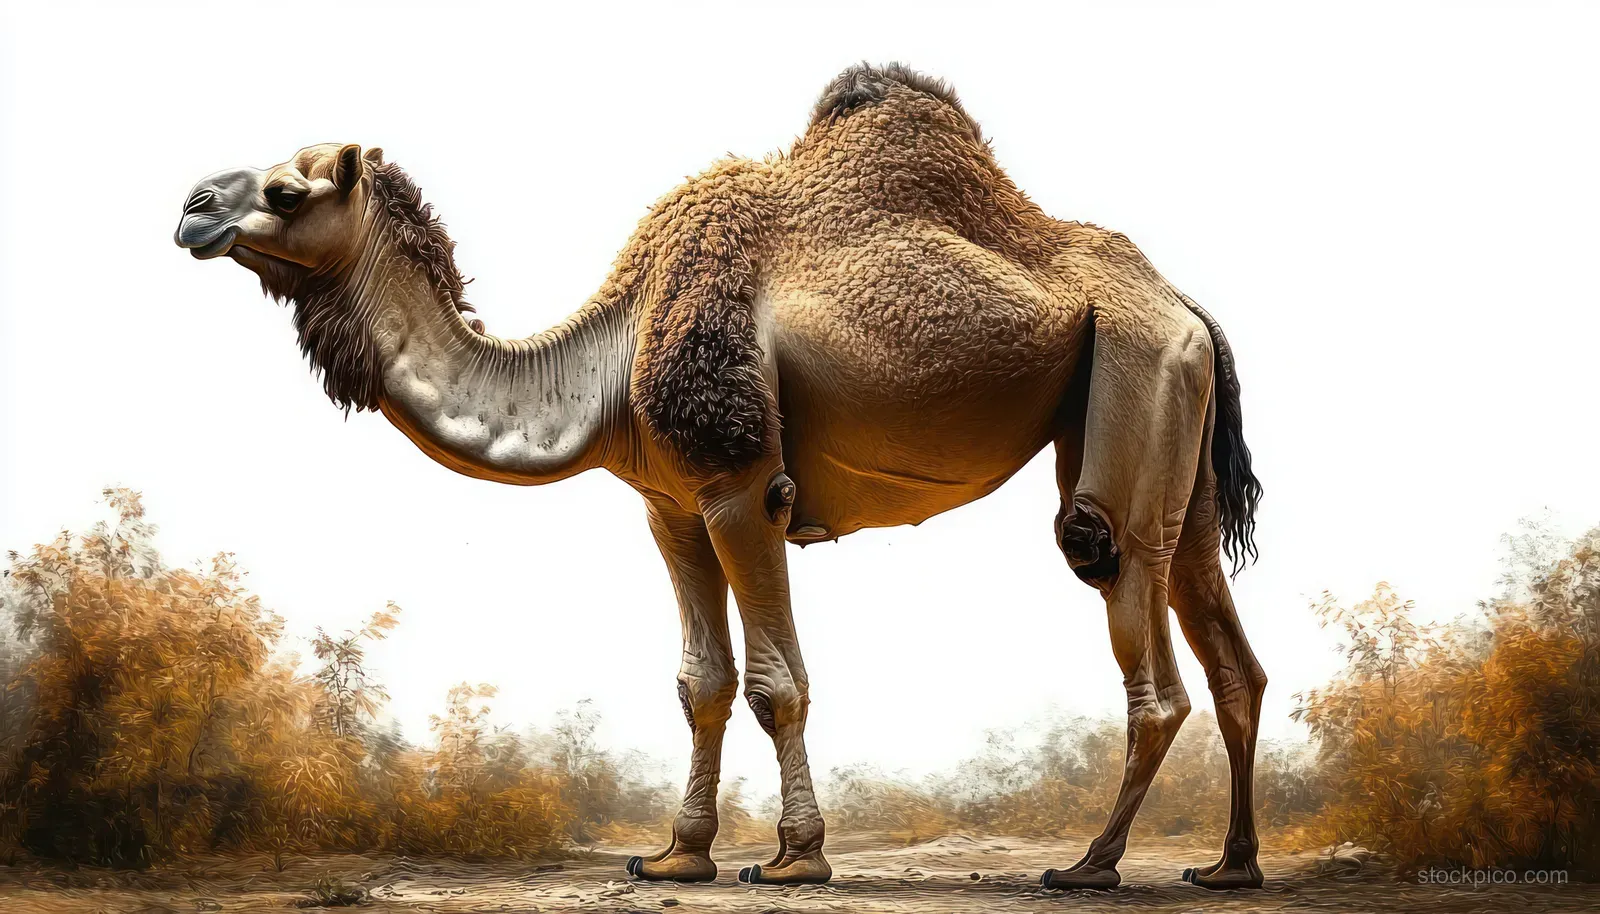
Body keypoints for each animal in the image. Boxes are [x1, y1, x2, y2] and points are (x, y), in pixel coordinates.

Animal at [174, 63, 1267, 891]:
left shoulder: (743, 484)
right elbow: (701, 681)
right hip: (1163, 418)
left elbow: (776, 683)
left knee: (1119, 580)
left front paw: (793, 858)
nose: (191, 207)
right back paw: (1228, 867)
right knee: (1225, 646)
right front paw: (674, 854)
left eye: (286, 190)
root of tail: (1188, 305)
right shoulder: (669, 505)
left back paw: (1090, 865)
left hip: (1130, 372)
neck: (613, 353)